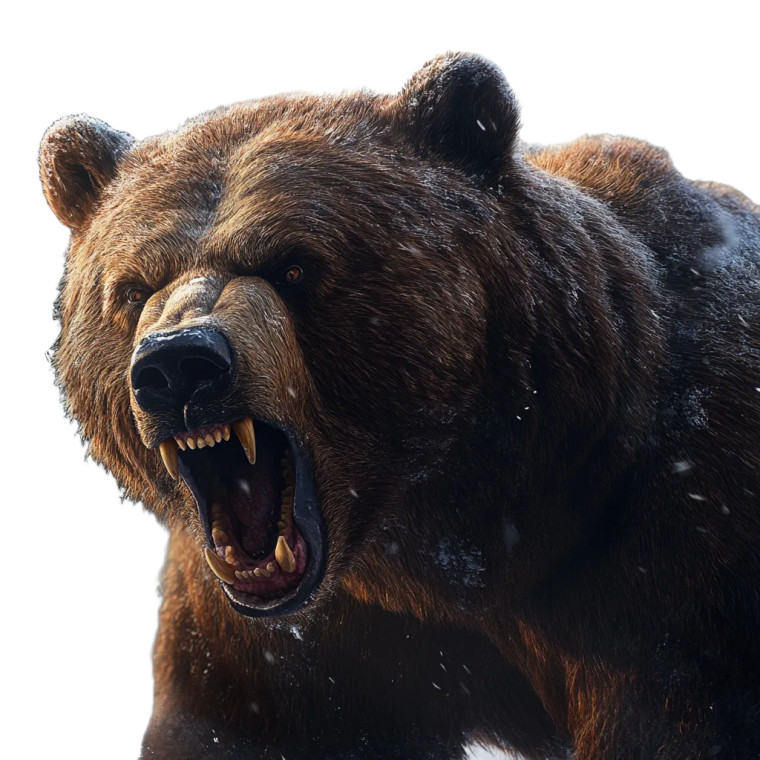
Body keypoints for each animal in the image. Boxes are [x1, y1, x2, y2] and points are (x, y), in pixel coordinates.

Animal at [39, 52, 760, 759]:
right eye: (135, 287)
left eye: (293, 266)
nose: (179, 366)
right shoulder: (284, 639)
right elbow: (234, 726)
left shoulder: (666, 551)